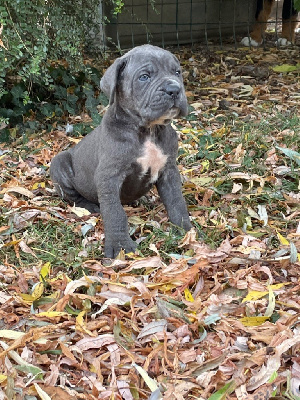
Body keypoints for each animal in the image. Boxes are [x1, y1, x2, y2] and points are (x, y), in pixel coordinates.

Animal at [50, 43, 192, 256]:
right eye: (144, 77)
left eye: (177, 72)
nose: (174, 89)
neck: (147, 130)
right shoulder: (109, 177)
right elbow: (114, 212)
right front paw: (119, 245)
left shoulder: (169, 170)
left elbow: (176, 201)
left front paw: (186, 230)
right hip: (59, 163)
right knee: (74, 198)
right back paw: (89, 206)